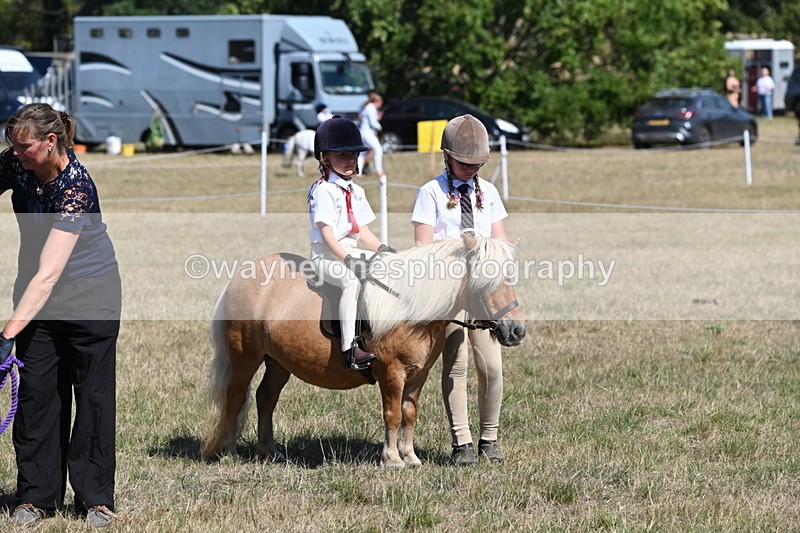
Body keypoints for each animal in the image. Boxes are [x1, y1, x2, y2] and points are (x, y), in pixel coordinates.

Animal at [201, 234, 527, 467]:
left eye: (511, 278)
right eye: (486, 282)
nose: (517, 331)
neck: (409, 304)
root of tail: (241, 275)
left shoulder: (418, 374)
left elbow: (409, 413)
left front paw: (410, 457)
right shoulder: (391, 372)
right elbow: (392, 414)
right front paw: (392, 459)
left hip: (278, 362)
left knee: (265, 397)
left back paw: (269, 451)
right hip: (245, 356)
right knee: (236, 397)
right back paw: (228, 451)